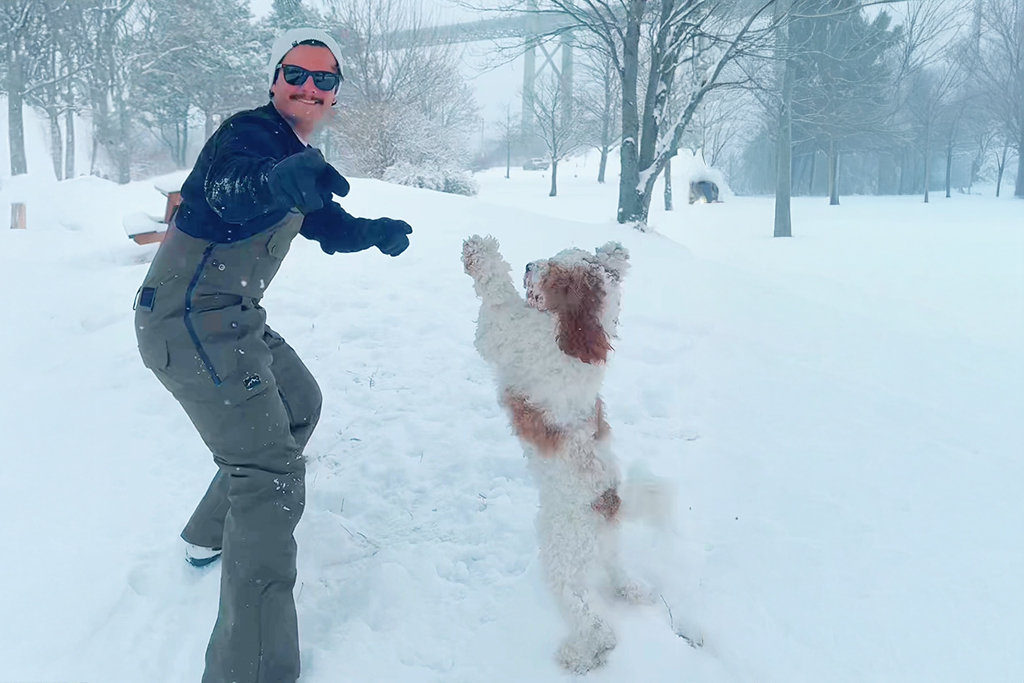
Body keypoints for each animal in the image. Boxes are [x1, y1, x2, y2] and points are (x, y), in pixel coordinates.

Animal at [462, 235, 664, 673]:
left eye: (555, 275)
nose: (527, 264)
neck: (572, 342)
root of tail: (609, 503)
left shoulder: (504, 331)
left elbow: (497, 298)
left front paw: (480, 252)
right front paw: (615, 254)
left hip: (561, 561)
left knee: (594, 624)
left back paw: (577, 657)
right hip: (606, 548)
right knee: (616, 574)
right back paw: (630, 590)